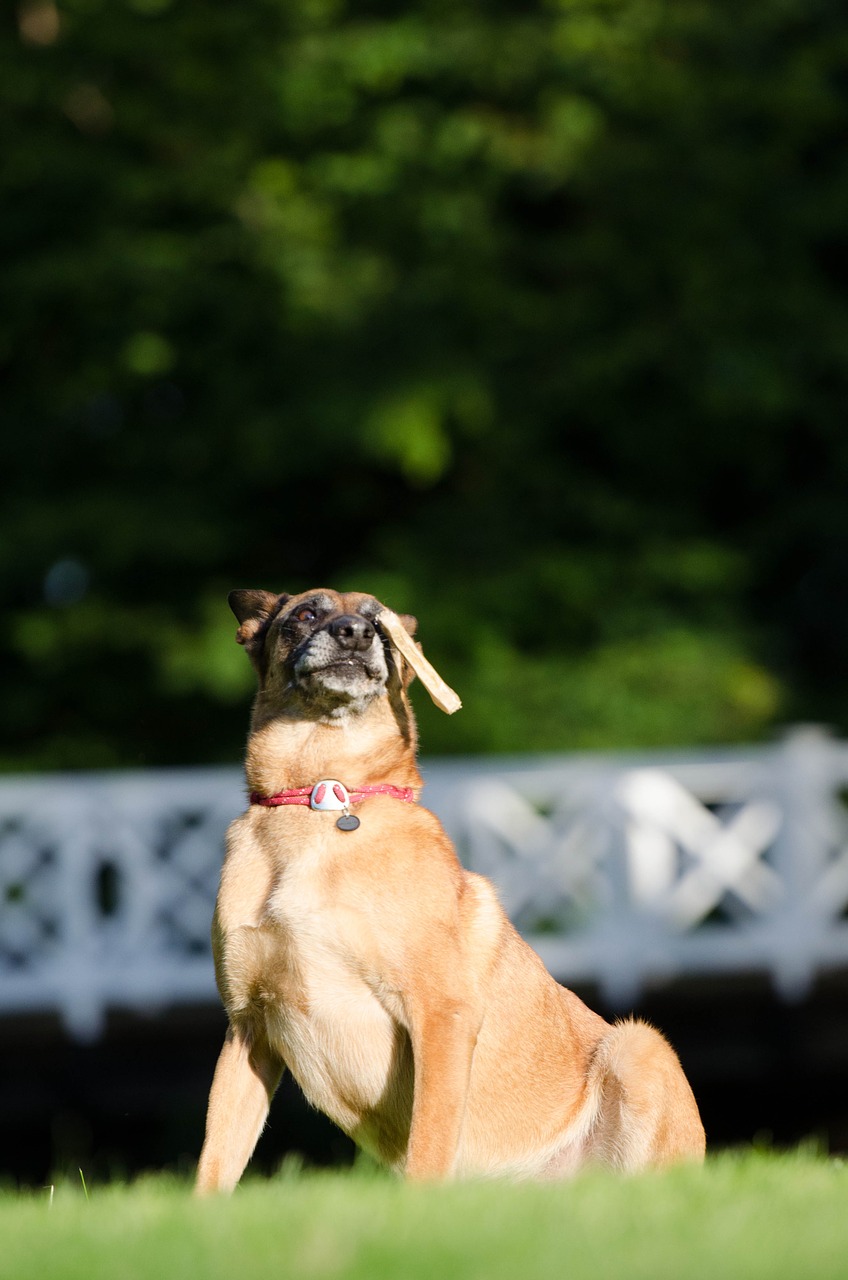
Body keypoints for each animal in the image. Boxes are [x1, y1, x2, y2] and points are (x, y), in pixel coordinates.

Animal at [195, 586, 707, 1187]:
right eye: (305, 613)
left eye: (379, 624)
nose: (354, 634)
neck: (324, 796)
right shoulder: (247, 1029)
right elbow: (215, 1162)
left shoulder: (440, 1013)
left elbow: (430, 1142)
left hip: (640, 1045)